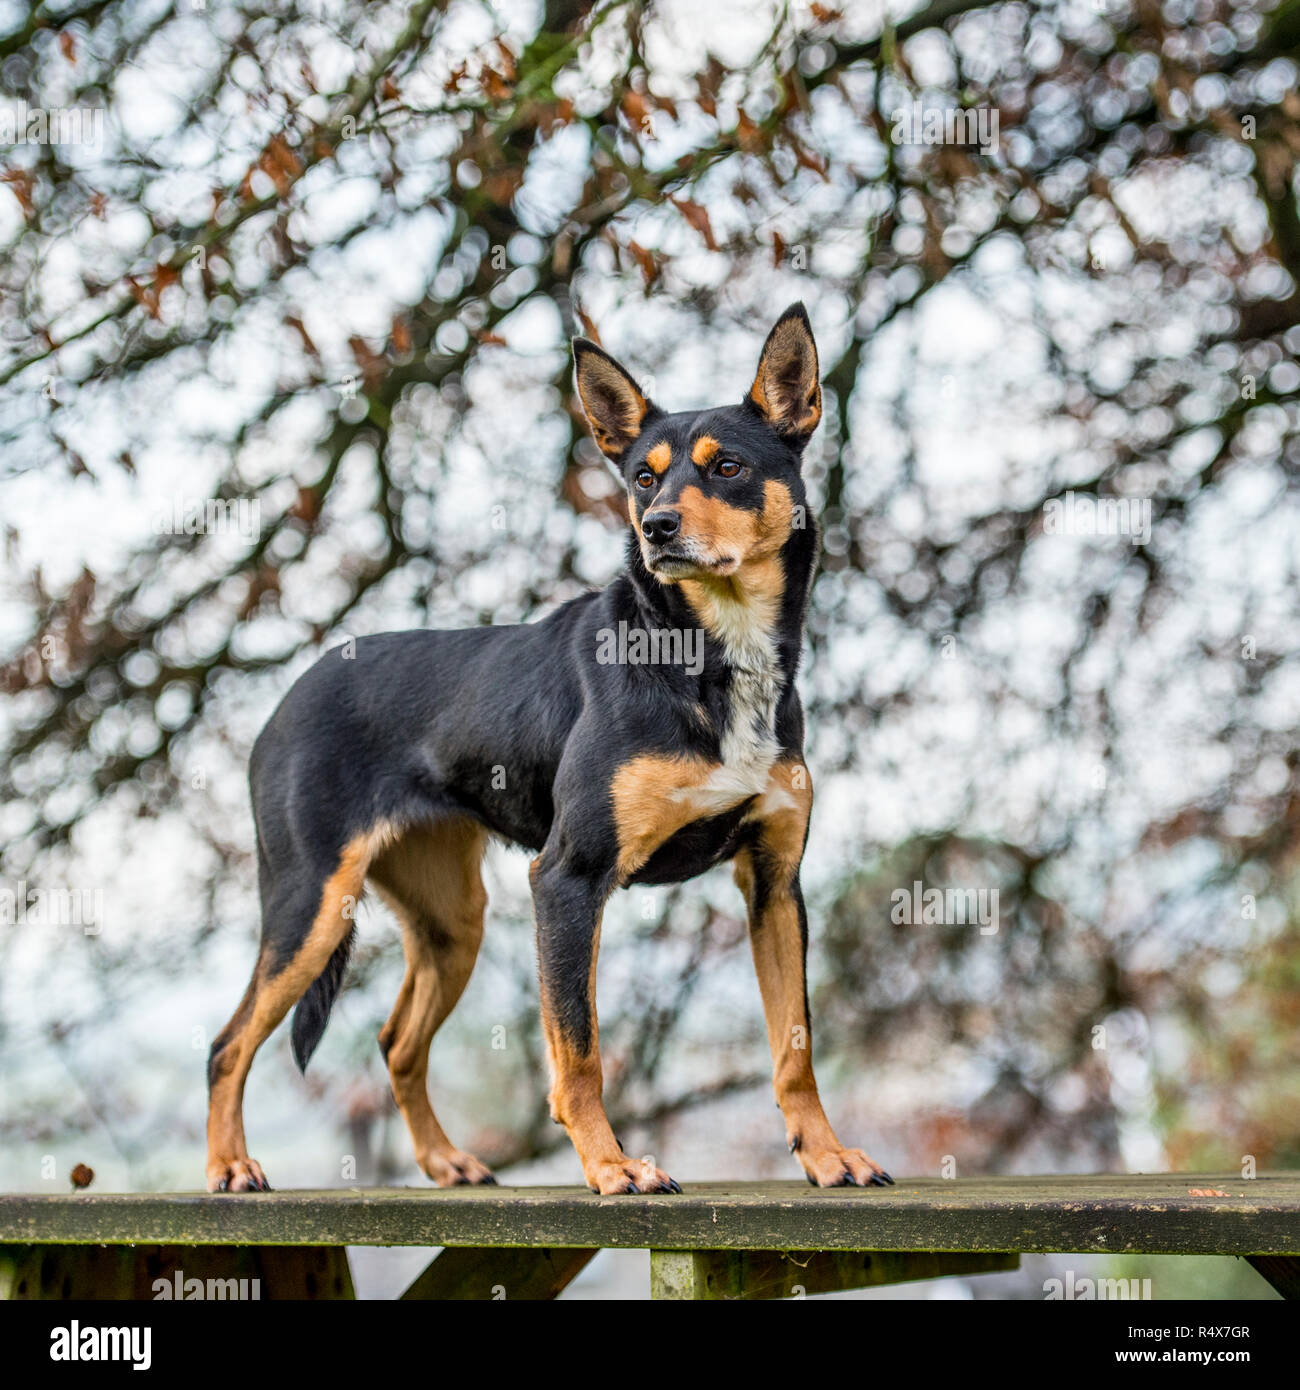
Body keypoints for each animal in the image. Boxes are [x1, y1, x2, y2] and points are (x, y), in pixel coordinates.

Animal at [205, 304, 895, 1195]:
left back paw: (445, 1162)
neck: (709, 655)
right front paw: (612, 1168)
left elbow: (794, 1046)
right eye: (643, 478)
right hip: (310, 903)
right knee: (228, 1044)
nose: (658, 529)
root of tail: (285, 700)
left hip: (450, 920)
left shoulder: (775, 885)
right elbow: (580, 1050)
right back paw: (229, 1166)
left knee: (397, 1042)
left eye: (729, 466)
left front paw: (826, 1155)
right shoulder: (569, 877)